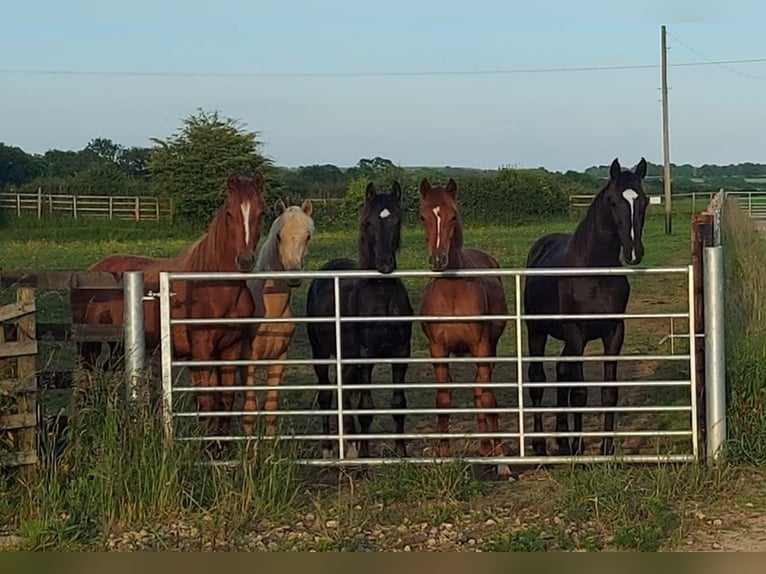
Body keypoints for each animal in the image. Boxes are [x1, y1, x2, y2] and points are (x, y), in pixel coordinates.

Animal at [81, 173, 268, 438]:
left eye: (261, 212)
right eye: (229, 212)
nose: (245, 261)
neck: (213, 286)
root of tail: (94, 269)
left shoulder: (230, 348)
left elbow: (225, 401)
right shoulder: (200, 351)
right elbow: (207, 403)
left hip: (119, 346)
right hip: (90, 347)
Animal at [246, 198, 318, 436]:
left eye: (308, 235)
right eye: (278, 236)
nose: (293, 277)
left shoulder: (279, 359)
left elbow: (271, 408)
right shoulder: (248, 360)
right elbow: (249, 409)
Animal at [306, 182, 414, 462]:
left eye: (398, 221)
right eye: (368, 222)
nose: (385, 265)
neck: (381, 296)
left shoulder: (401, 354)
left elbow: (398, 404)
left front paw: (401, 452)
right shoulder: (365, 358)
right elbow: (365, 408)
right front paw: (365, 456)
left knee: (345, 394)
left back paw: (351, 444)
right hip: (320, 352)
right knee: (327, 395)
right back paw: (329, 448)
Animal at [420, 177, 510, 476]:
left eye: (453, 215)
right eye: (422, 216)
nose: (438, 261)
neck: (452, 293)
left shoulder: (482, 347)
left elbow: (489, 399)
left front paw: (503, 463)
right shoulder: (437, 350)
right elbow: (443, 401)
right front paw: (443, 457)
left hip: (489, 349)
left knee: (481, 390)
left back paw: (490, 449)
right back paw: (483, 448)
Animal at [520, 158, 648, 460]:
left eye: (644, 200)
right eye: (613, 201)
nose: (633, 252)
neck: (594, 272)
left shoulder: (614, 332)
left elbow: (608, 392)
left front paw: (606, 449)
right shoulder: (576, 331)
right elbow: (579, 391)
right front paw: (579, 450)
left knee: (561, 372)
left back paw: (562, 441)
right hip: (537, 331)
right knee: (538, 379)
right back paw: (541, 444)